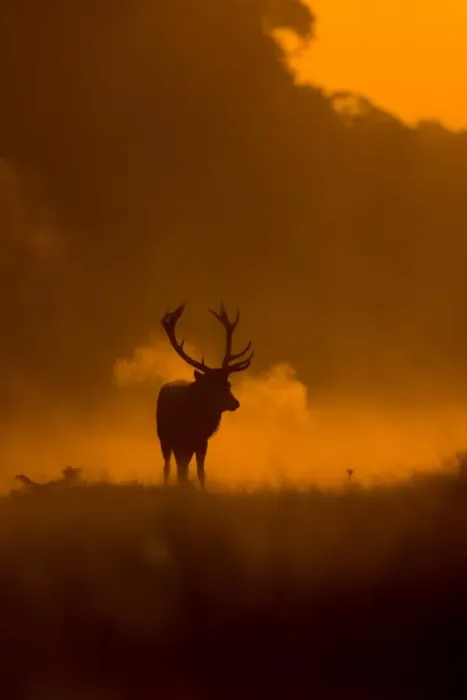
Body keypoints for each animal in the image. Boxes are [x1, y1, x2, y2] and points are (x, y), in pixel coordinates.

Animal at [156, 302, 254, 489]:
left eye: (228, 384)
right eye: (212, 385)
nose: (235, 403)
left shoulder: (202, 442)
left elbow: (201, 472)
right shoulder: (179, 441)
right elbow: (181, 471)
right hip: (164, 438)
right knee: (167, 466)